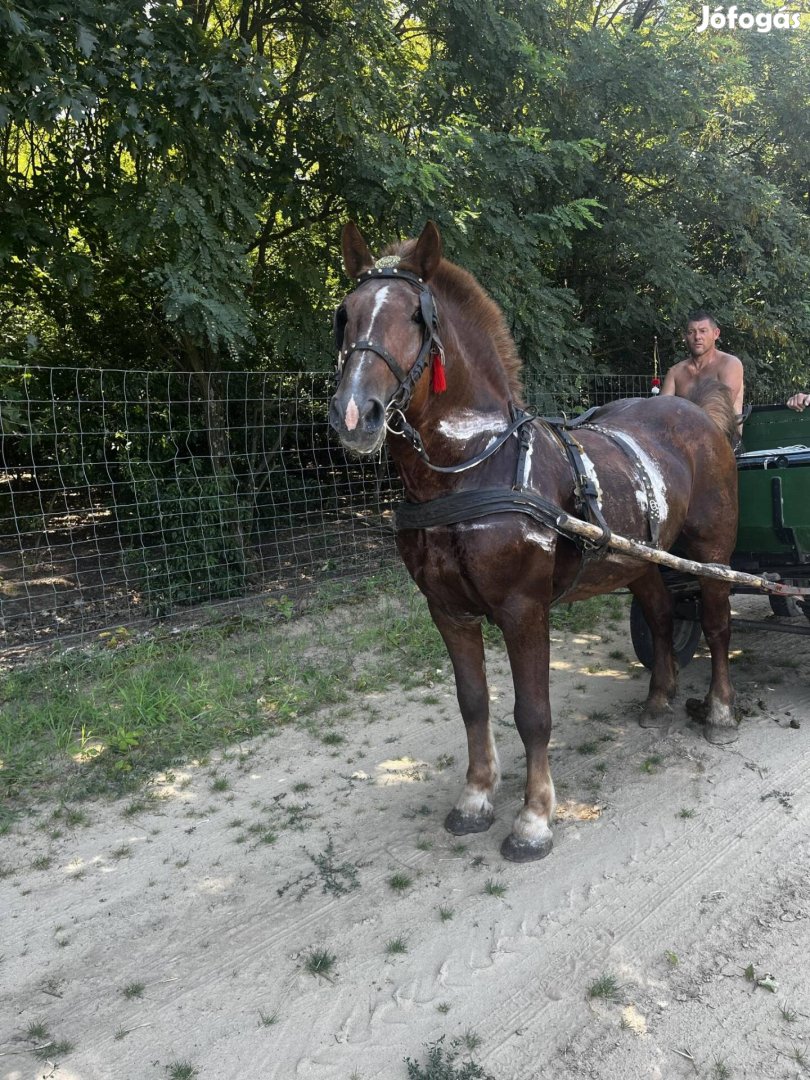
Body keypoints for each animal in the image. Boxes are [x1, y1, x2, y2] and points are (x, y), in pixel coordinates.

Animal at [330, 223, 743, 864]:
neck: (474, 466)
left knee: (719, 623)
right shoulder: (447, 610)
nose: (354, 414)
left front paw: (534, 819)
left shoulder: (525, 610)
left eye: (416, 318)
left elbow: (532, 714)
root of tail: (696, 412)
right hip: (640, 559)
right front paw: (476, 796)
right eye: (345, 316)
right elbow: (473, 701)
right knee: (658, 612)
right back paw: (658, 700)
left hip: (712, 553)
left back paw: (720, 709)